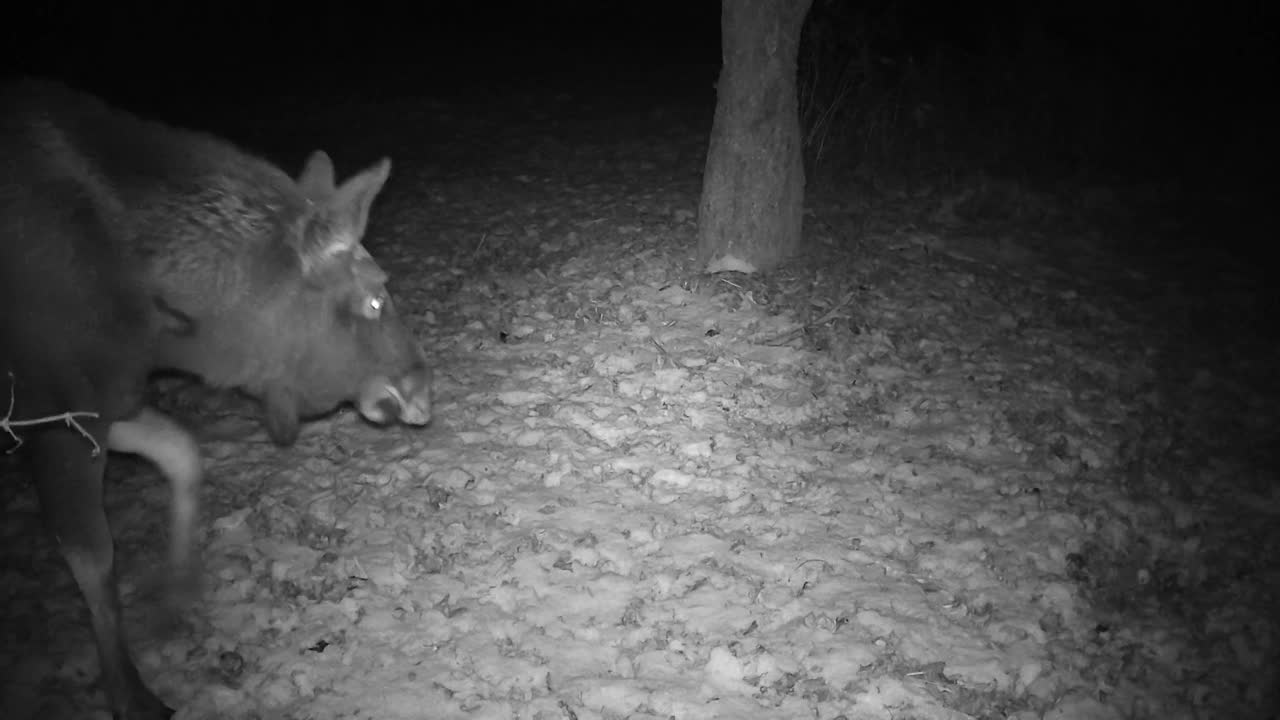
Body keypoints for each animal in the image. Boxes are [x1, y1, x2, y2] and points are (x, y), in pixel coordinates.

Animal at [0, 75, 435, 712]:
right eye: (377, 298)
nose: (423, 388)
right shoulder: (53, 409)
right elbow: (94, 554)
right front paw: (131, 693)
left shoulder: (107, 395)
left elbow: (184, 455)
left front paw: (177, 595)